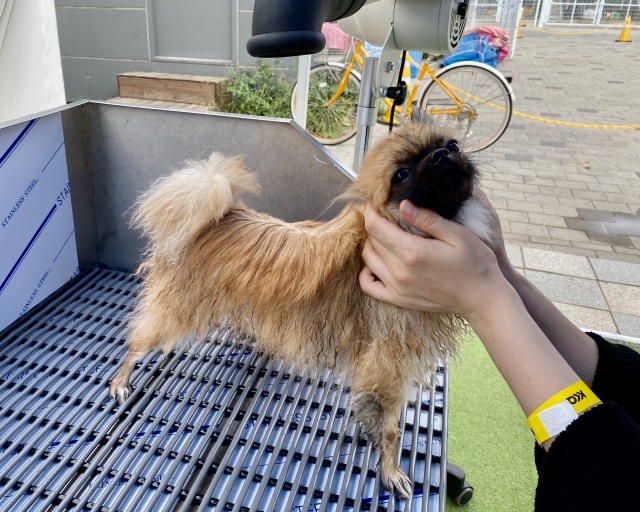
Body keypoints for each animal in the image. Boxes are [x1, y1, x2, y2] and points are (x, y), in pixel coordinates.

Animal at [110, 116, 492, 496]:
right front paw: (391, 468)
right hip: (174, 312)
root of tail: (220, 216)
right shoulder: (387, 368)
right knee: (137, 343)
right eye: (400, 174)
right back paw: (120, 380)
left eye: (452, 144)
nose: (442, 156)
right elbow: (391, 430)